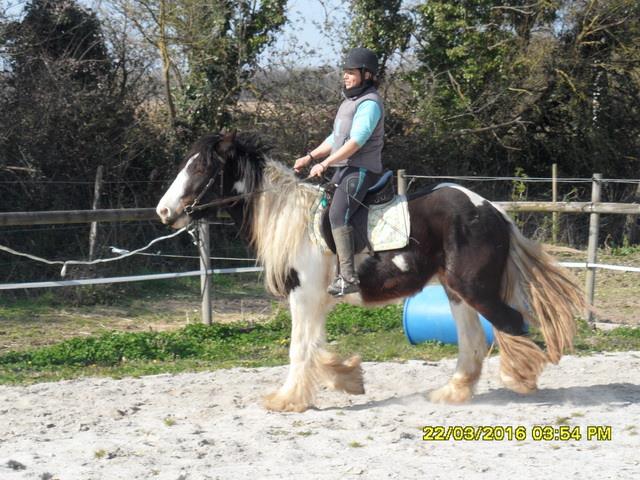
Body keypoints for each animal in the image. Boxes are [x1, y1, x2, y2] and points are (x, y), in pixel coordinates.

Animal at [156, 130, 584, 412]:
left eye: (201, 167)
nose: (164, 210)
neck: (292, 218)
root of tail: (493, 210)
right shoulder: (316, 300)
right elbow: (315, 347)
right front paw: (347, 378)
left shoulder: (304, 295)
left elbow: (299, 348)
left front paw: (287, 400)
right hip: (455, 291)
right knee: (473, 341)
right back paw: (453, 393)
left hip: (474, 288)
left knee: (509, 323)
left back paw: (521, 379)